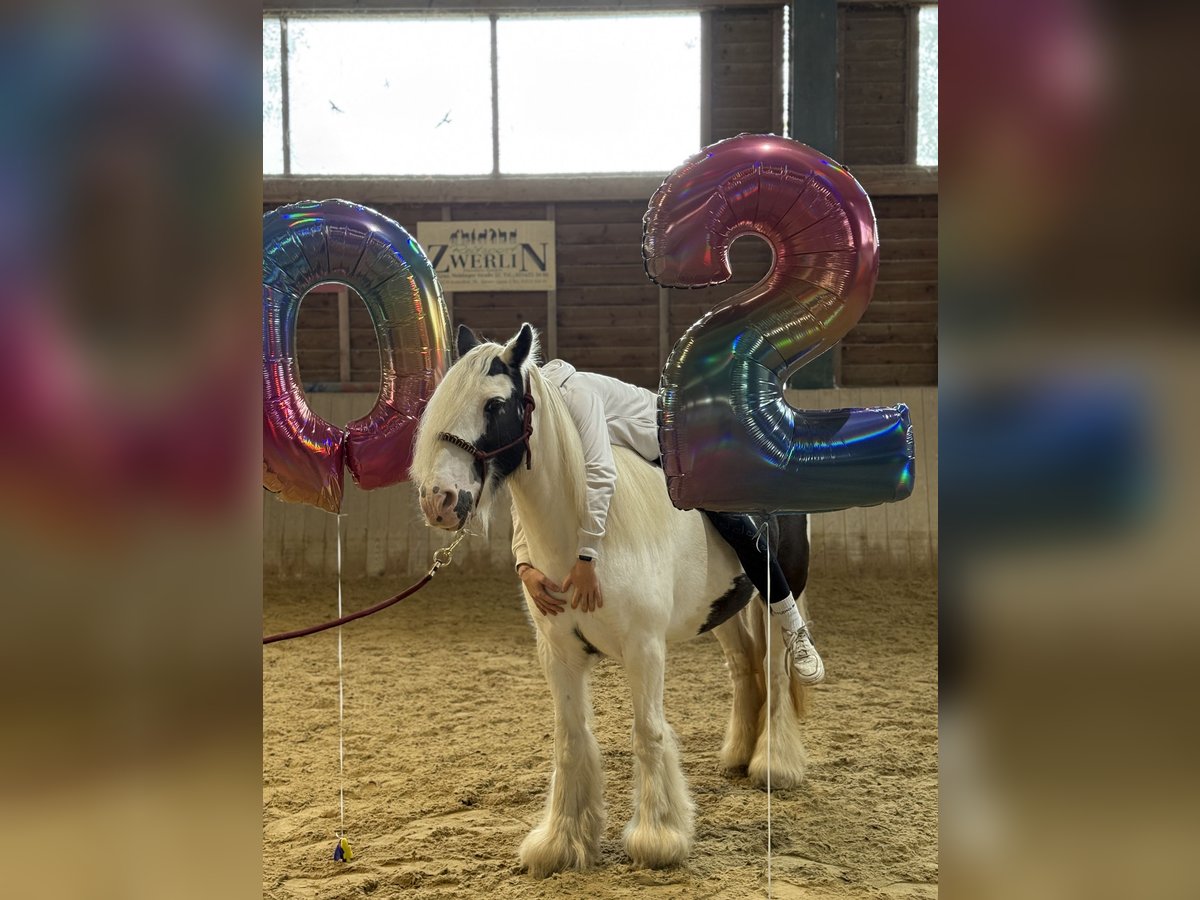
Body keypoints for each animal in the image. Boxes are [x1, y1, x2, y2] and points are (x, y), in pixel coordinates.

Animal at [410, 323, 811, 877]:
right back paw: (739, 752)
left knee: (776, 665)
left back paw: (774, 763)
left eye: (494, 404)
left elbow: (647, 732)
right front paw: (562, 842)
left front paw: (659, 837)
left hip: (779, 584)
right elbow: (572, 740)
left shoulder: (644, 649)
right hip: (724, 608)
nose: (439, 500)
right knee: (743, 665)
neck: (589, 537)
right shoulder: (560, 653)